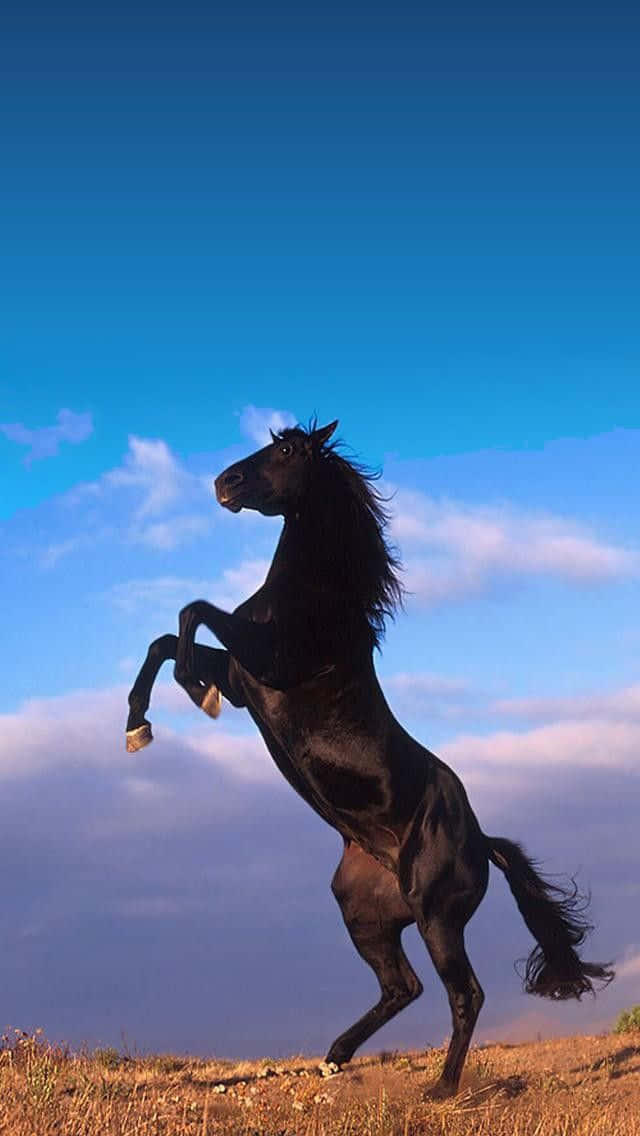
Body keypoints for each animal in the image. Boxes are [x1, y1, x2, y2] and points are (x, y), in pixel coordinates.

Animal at [123, 422, 609, 1095]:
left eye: (287, 451)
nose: (224, 483)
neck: (313, 600)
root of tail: (483, 841)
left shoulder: (267, 664)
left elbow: (192, 614)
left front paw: (194, 692)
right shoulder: (248, 681)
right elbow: (164, 641)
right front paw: (139, 724)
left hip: (436, 918)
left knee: (465, 994)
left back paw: (441, 1089)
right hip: (365, 914)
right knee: (402, 987)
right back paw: (335, 1056)